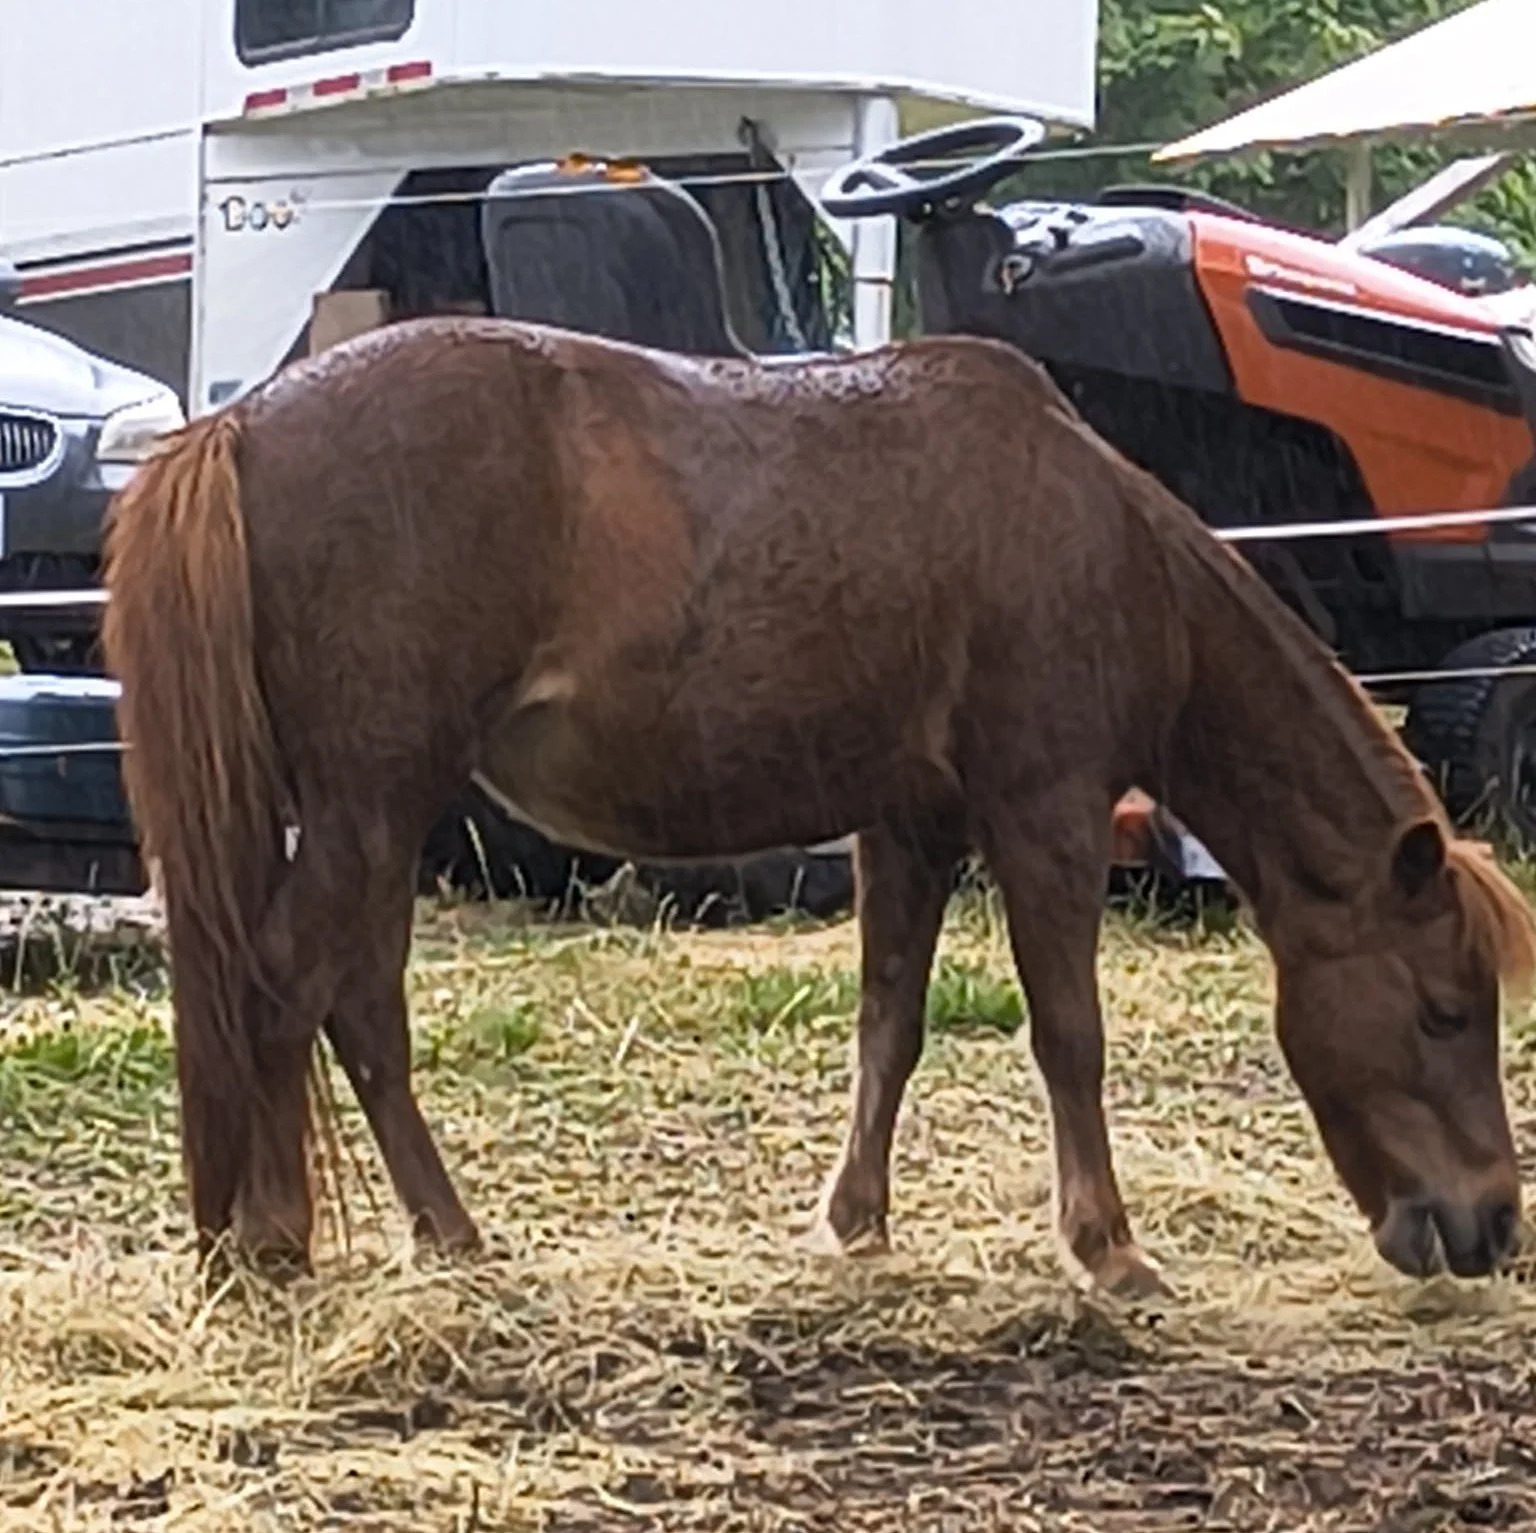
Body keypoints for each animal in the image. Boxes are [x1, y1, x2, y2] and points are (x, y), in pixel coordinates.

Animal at [102, 319, 1536, 1296]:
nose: (1489, 1226)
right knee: (292, 993)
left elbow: (888, 1026)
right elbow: (1070, 1035)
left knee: (352, 1012)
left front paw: (857, 1221)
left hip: (372, 817)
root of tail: (242, 428)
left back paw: (427, 1235)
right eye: (1443, 1008)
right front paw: (1109, 1250)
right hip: (370, 807)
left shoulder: (911, 828)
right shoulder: (1048, 814)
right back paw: (280, 1243)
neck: (1100, 541)